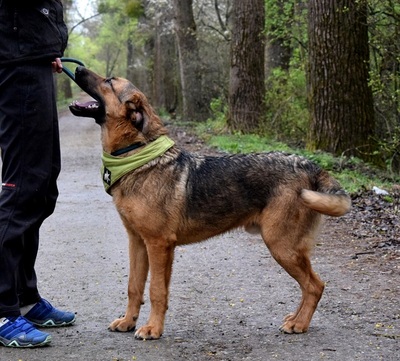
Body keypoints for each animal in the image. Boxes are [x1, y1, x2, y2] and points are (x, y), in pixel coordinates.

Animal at [70, 66, 352, 338]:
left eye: (109, 81)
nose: (77, 68)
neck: (135, 156)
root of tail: (311, 166)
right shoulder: (137, 242)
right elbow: (134, 287)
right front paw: (129, 321)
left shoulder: (159, 245)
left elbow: (156, 291)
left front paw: (153, 329)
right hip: (286, 248)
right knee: (310, 286)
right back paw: (295, 318)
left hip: (282, 246)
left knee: (315, 286)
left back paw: (300, 324)